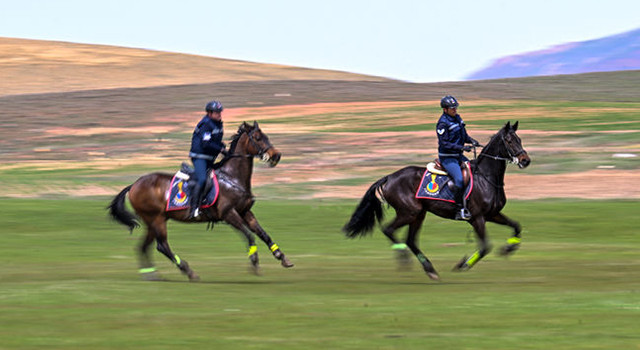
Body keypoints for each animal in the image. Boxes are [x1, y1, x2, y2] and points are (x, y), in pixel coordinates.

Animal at [109, 121, 294, 280]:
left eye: (266, 136)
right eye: (257, 138)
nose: (276, 155)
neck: (232, 177)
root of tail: (134, 185)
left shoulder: (245, 211)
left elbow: (263, 234)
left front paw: (282, 257)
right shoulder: (229, 214)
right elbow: (249, 235)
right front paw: (254, 260)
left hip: (154, 222)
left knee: (144, 246)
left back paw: (151, 274)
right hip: (156, 219)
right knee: (162, 246)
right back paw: (187, 271)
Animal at [344, 121, 528, 280]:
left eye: (519, 139)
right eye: (509, 141)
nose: (525, 160)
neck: (486, 177)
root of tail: (389, 177)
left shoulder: (492, 214)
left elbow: (516, 226)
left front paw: (508, 248)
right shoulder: (477, 218)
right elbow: (485, 247)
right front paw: (462, 265)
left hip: (419, 215)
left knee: (410, 241)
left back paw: (430, 269)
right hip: (409, 213)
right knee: (388, 230)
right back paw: (404, 256)